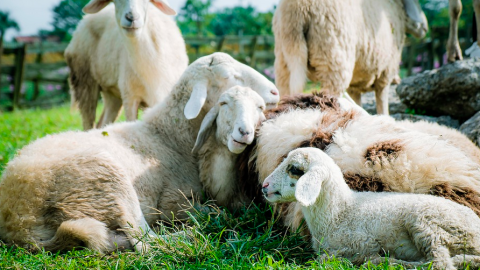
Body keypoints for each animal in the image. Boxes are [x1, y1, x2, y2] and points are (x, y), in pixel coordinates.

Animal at [0, 52, 282, 253]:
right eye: (230, 76)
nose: (275, 91)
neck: (168, 134)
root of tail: (18, 224)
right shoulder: (173, 202)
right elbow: (216, 212)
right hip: (106, 178)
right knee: (145, 241)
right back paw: (189, 237)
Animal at [64, 0, 188, 130]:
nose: (132, 17)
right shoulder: (130, 97)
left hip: (112, 93)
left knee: (103, 123)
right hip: (84, 81)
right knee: (88, 122)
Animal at [260, 148, 480, 270]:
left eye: (295, 169)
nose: (264, 186)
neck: (339, 212)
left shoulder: (362, 242)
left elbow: (327, 258)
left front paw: (369, 259)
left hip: (429, 223)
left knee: (439, 263)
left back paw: (389, 262)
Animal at [272, 0, 426, 114]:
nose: (424, 27)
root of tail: (297, 10)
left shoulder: (356, 83)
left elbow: (357, 100)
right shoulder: (386, 69)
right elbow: (382, 101)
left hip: (285, 57)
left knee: (286, 89)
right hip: (334, 55)